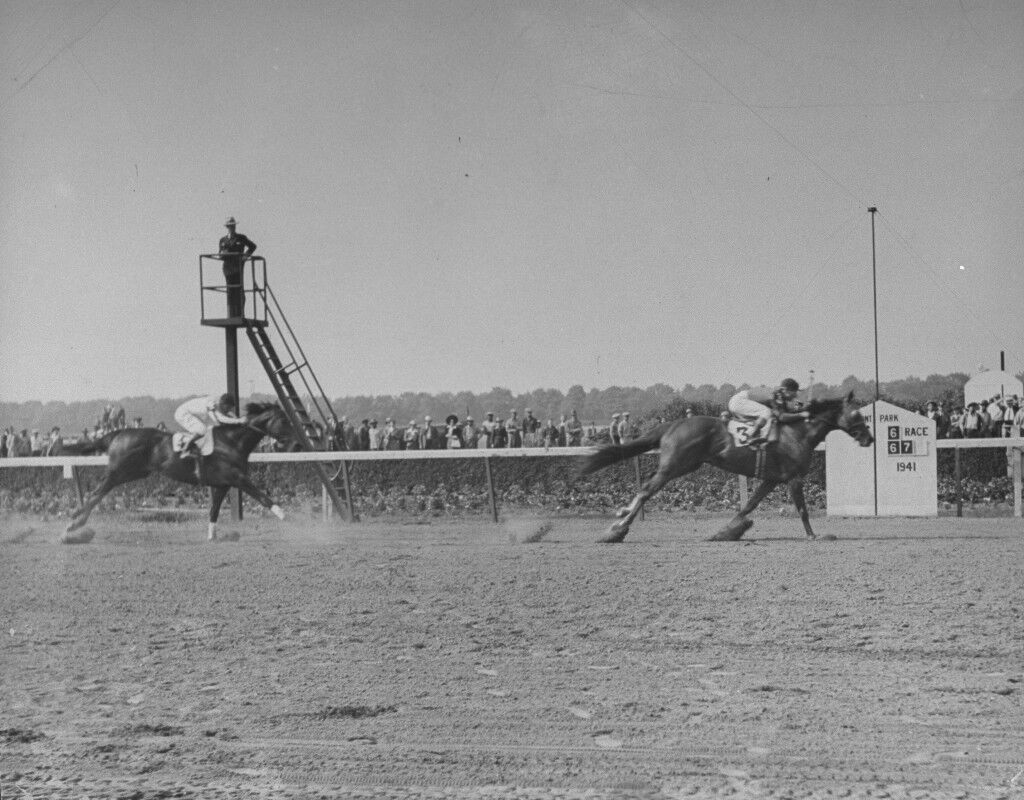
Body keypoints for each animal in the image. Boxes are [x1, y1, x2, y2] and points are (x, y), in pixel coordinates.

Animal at [60, 403, 292, 540]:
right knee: (97, 492)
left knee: (99, 492)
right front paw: (286, 517)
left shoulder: (222, 485)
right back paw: (74, 521)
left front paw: (212, 536)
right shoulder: (237, 478)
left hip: (134, 472)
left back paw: (76, 521)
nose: (290, 442)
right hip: (120, 471)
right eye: (283, 420)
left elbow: (214, 510)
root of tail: (117, 434)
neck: (231, 442)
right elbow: (263, 497)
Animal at [577, 393, 872, 544]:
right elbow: (802, 509)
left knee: (645, 487)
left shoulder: (772, 479)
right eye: (857, 415)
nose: (869, 439)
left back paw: (620, 515)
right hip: (676, 466)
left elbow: (749, 505)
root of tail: (673, 424)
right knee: (646, 491)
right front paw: (814, 535)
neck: (798, 432)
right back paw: (617, 529)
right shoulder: (793, 478)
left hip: (683, 465)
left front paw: (727, 531)